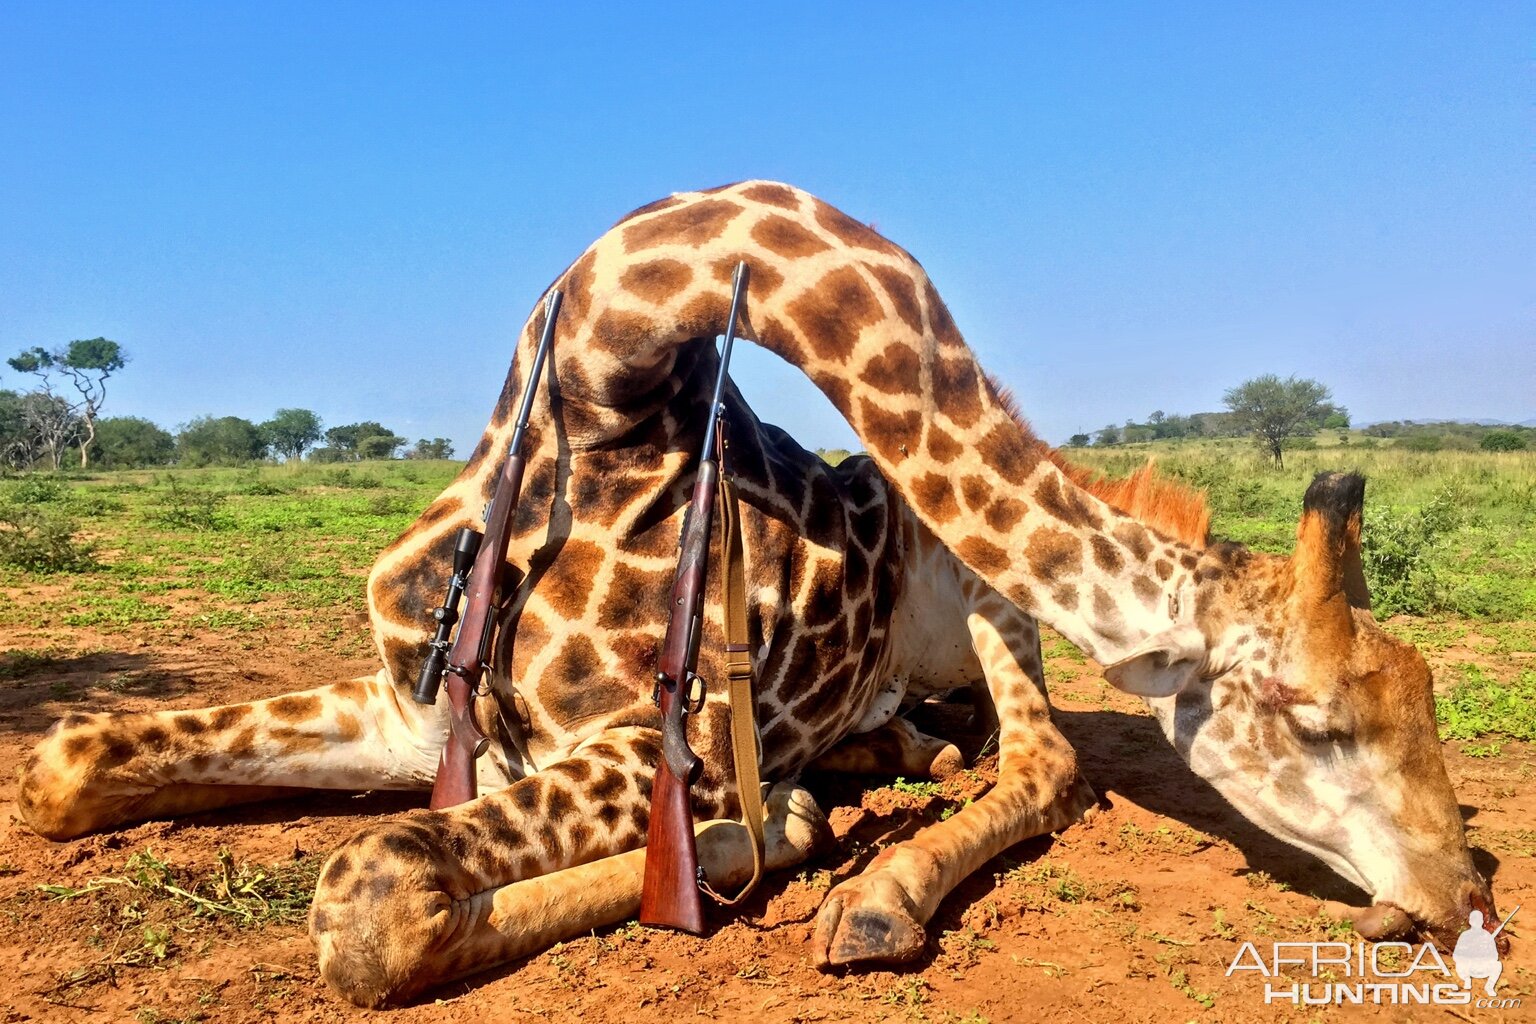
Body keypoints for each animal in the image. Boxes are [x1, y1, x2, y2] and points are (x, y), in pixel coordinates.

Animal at [14, 180, 1499, 1007]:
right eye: (1317, 718)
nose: (1456, 901)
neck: (598, 398)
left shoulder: (648, 748)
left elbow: (373, 901)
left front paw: (772, 827)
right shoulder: (414, 706)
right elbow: (60, 767)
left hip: (979, 590)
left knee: (1050, 761)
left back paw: (870, 883)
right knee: (974, 746)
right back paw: (878, 760)